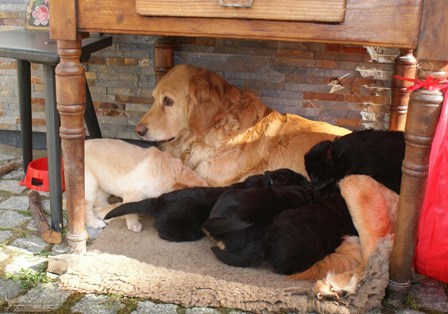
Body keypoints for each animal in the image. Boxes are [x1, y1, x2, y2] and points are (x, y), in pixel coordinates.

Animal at [104, 168, 310, 242]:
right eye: (299, 178)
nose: (308, 181)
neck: (269, 182)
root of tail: (160, 200)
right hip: (182, 224)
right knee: (165, 233)